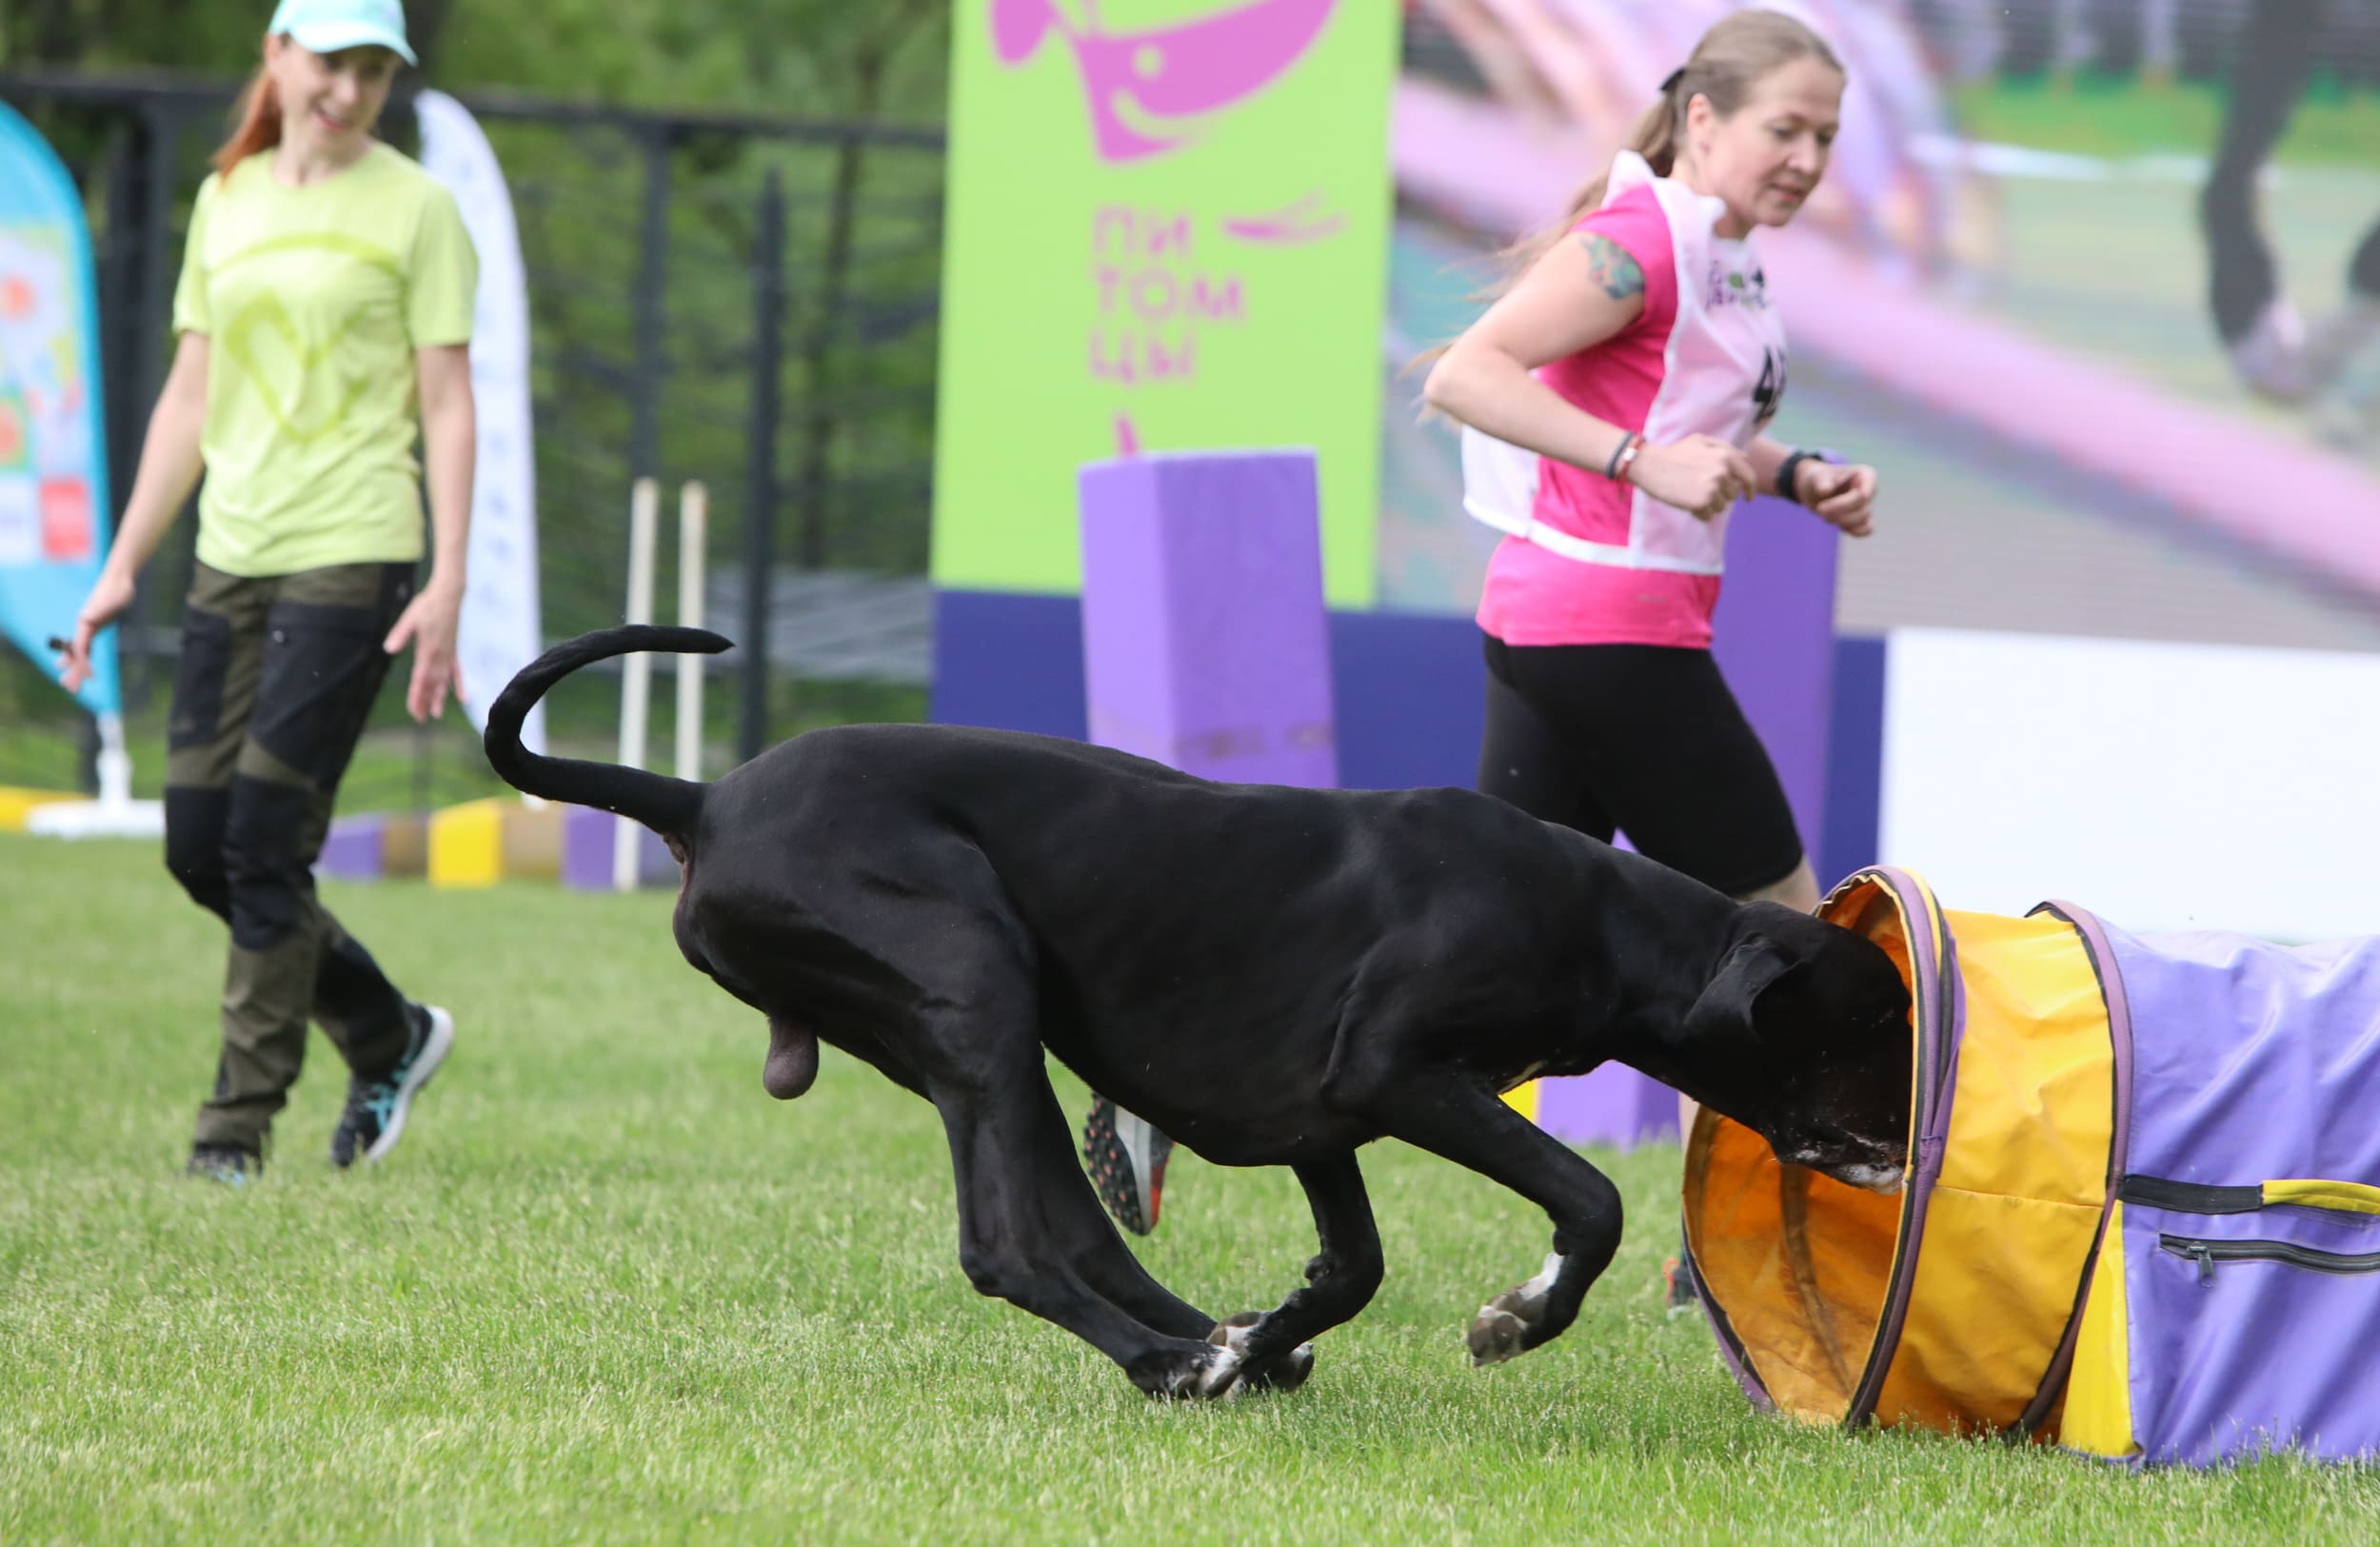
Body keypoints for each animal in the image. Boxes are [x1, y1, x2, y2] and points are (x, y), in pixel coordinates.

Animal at [486, 627, 1913, 1399]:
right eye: (1875, 1029)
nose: (1916, 1142)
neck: (1600, 912)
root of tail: (700, 798)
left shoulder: (1320, 1116)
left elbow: (1353, 1265)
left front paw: (1263, 1334)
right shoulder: (1396, 1073)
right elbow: (1590, 1198)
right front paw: (1517, 1316)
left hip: (974, 1047)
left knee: (1073, 1231)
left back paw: (1205, 1350)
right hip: (975, 987)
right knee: (1008, 1245)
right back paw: (1172, 1361)